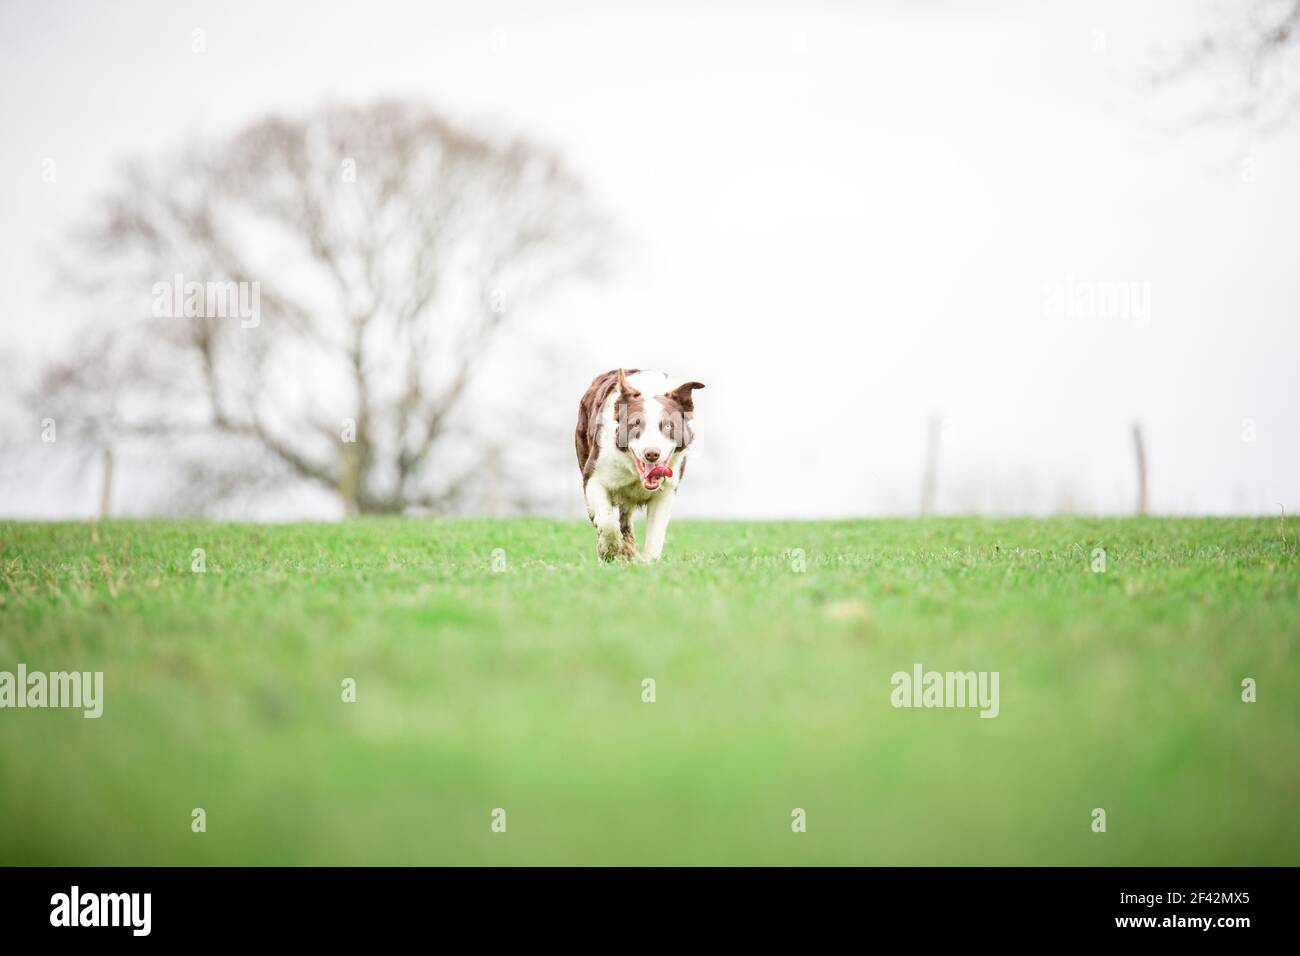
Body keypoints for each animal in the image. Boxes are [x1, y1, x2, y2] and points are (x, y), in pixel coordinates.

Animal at [574, 366, 707, 561]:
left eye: (668, 426)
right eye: (635, 424)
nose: (651, 453)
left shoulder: (667, 490)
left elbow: (656, 533)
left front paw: (646, 562)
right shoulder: (594, 475)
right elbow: (606, 521)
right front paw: (610, 550)